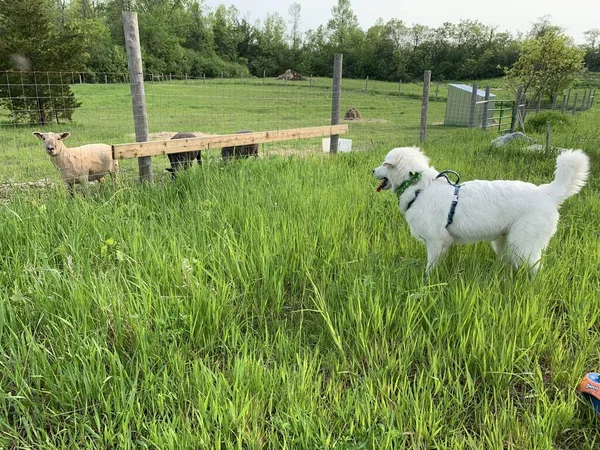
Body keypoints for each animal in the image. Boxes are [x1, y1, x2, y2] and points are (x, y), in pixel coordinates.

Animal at [372, 148, 588, 274]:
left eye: (384, 163)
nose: (372, 171)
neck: (420, 187)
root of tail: (547, 192)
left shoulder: (436, 241)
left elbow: (430, 268)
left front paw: (427, 283)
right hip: (504, 241)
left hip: (523, 244)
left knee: (536, 269)